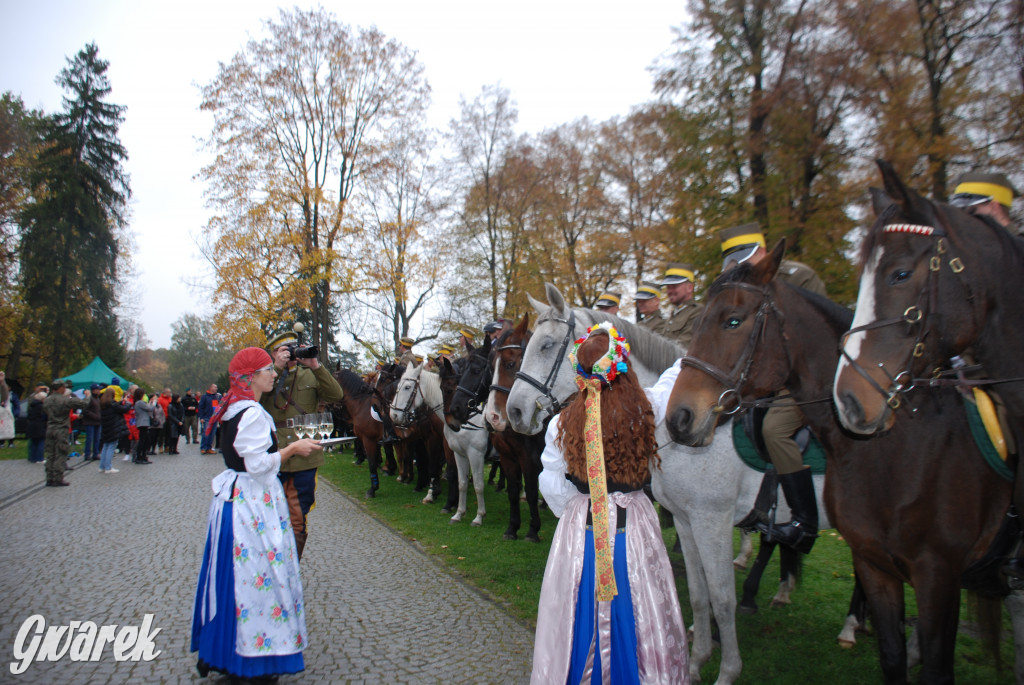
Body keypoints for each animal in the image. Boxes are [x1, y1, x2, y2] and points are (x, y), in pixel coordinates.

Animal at [663, 240, 1015, 683]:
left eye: (733, 321)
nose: (680, 419)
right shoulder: (687, 520)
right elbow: (699, 594)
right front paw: (695, 662)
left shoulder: (711, 519)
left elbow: (720, 598)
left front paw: (725, 668)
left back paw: (850, 623)